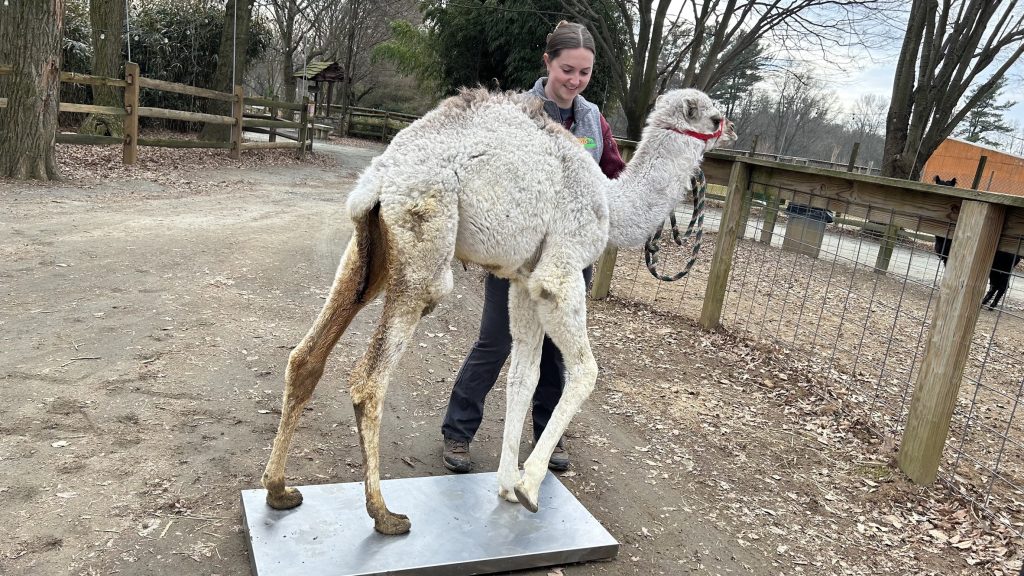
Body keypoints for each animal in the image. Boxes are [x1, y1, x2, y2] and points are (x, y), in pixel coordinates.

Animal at [260, 87, 736, 535]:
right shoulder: (559, 272)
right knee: (368, 380)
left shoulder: (524, 282)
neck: (608, 201)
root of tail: (379, 178)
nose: (729, 131)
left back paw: (279, 490)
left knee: (306, 357)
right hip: (424, 242)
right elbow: (585, 371)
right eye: (715, 116)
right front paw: (529, 487)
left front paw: (507, 485)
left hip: (369, 251)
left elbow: (523, 376)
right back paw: (385, 515)